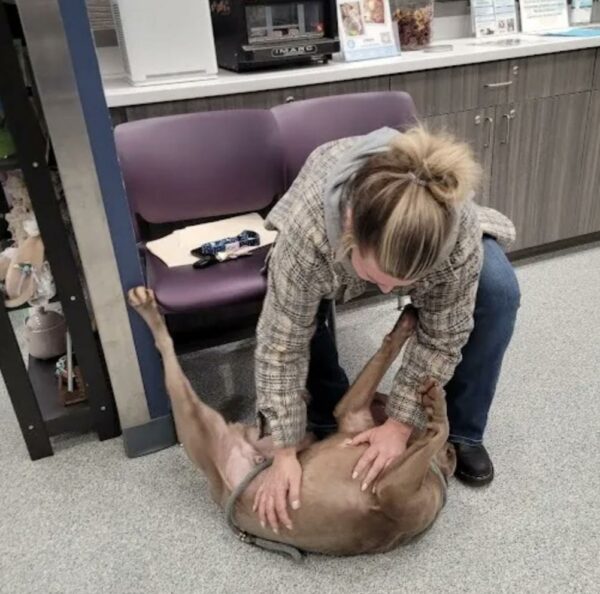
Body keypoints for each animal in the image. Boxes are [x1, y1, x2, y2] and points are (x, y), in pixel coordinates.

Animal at [126, 286, 454, 556]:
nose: (385, 400)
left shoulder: (391, 490)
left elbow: (439, 429)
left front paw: (437, 407)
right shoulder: (350, 412)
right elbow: (386, 351)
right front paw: (408, 323)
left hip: (198, 425)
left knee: (169, 355)